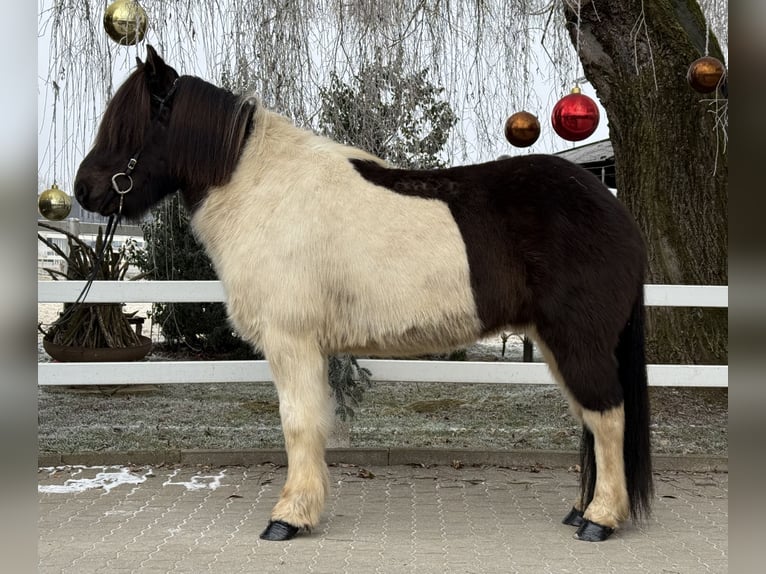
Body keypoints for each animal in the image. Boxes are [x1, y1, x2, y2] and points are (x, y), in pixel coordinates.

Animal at [74, 46, 652, 543]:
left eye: (131, 126)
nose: (85, 189)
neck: (265, 192)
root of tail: (614, 209)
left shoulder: (291, 343)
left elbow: (298, 424)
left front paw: (288, 517)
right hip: (559, 346)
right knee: (590, 419)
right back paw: (581, 510)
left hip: (578, 341)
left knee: (607, 417)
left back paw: (599, 519)